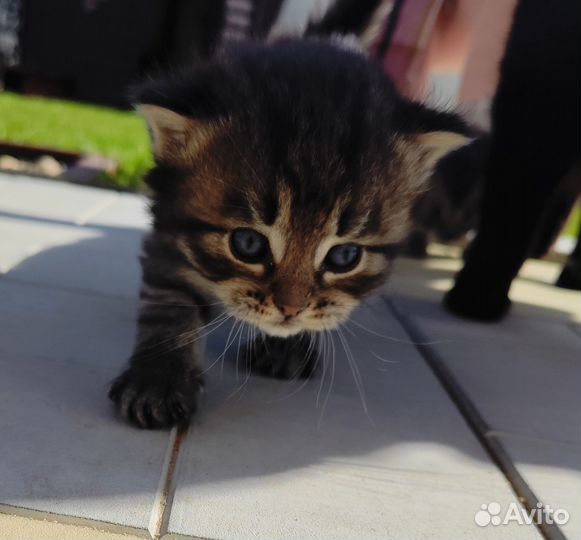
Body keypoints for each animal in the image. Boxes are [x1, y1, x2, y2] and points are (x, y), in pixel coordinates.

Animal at [109, 39, 468, 430]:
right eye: (248, 244)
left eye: (345, 257)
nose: (291, 309)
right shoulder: (169, 226)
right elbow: (169, 301)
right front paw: (158, 378)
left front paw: (288, 347)